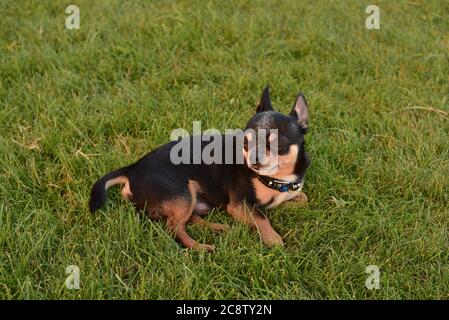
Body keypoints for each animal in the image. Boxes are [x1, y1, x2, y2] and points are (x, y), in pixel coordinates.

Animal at [89, 86, 310, 251]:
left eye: (278, 144)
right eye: (246, 143)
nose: (253, 158)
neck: (276, 178)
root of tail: (132, 169)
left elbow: (301, 199)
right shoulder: (240, 205)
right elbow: (262, 218)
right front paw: (274, 240)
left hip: (190, 199)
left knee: (188, 219)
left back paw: (220, 227)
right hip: (182, 194)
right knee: (173, 227)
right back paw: (200, 247)